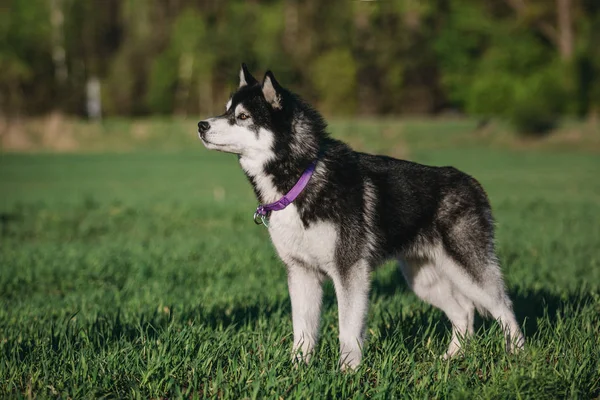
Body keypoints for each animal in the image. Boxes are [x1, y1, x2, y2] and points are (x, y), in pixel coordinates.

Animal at [198, 65, 524, 368]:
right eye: (226, 110)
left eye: (243, 116)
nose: (201, 124)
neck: (302, 178)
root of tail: (472, 182)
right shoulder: (301, 272)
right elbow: (302, 331)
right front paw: (297, 369)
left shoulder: (349, 270)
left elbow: (348, 330)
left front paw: (348, 371)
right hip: (423, 278)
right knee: (465, 311)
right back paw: (452, 357)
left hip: (468, 268)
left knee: (504, 307)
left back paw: (517, 355)